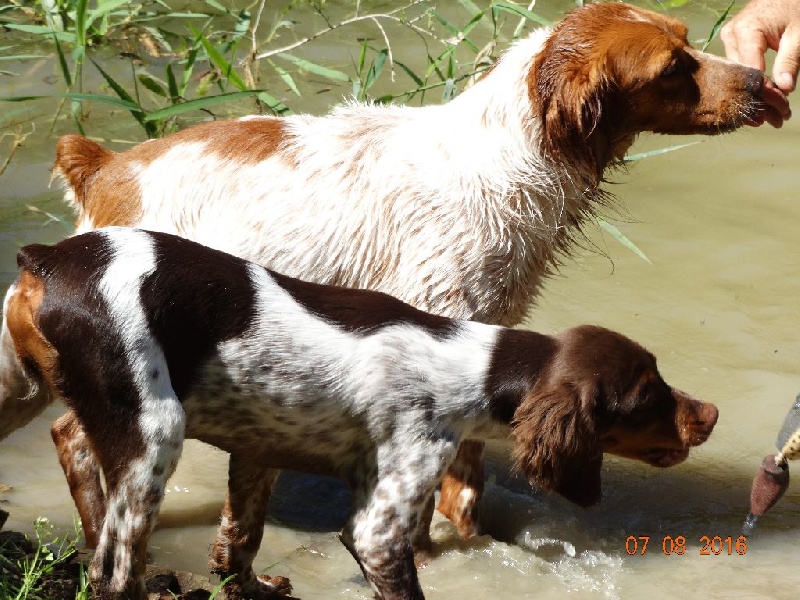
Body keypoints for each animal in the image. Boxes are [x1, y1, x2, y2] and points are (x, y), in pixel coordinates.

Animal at [4, 1, 761, 549]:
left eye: (688, 41)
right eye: (673, 66)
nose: (760, 81)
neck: (512, 153)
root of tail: (106, 167)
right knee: (79, 441)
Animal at [4, 227, 717, 600]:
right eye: (648, 394)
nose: (710, 413)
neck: (472, 366)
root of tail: (48, 257)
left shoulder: (258, 454)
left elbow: (236, 548)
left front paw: (255, 588)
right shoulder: (381, 521)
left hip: (22, 393)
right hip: (153, 436)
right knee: (114, 570)